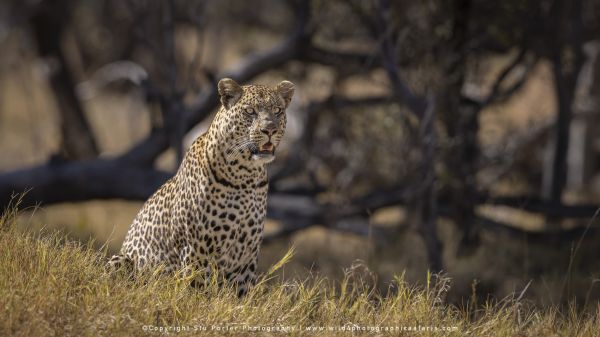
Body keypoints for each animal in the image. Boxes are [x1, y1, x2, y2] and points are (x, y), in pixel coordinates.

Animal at [109, 77, 296, 294]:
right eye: (250, 111)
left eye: (277, 110)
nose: (270, 130)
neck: (246, 176)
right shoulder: (196, 250)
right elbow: (194, 291)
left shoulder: (247, 256)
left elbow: (240, 296)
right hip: (120, 260)